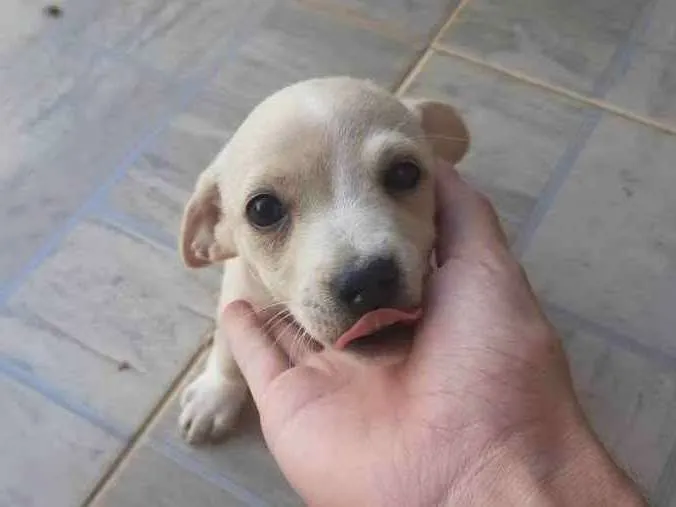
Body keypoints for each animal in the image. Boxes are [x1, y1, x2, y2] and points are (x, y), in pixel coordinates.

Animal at [177, 76, 468, 444]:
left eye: (404, 173)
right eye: (263, 209)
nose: (368, 281)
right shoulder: (239, 295)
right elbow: (227, 349)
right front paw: (214, 396)